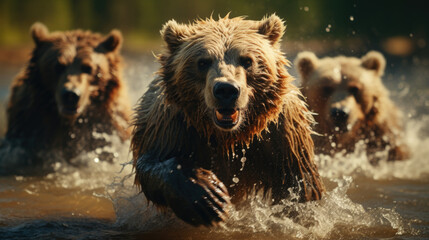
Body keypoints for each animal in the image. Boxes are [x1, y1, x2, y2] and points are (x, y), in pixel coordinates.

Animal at [1, 21, 130, 170]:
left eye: (88, 68)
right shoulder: (29, 126)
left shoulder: (108, 129)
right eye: (58, 66)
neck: (70, 123)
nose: (71, 95)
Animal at [132, 15, 322, 227]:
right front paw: (207, 197)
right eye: (203, 62)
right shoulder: (173, 126)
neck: (229, 136)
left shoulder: (281, 133)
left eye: (247, 60)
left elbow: (299, 183)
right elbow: (154, 163)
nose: (226, 90)